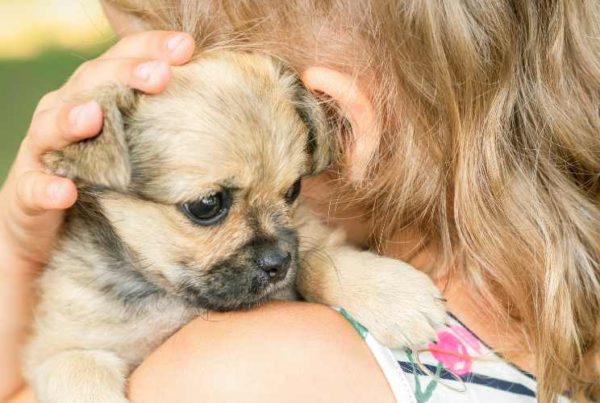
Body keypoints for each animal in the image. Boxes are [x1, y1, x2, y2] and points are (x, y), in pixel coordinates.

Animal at [24, 52, 446, 402]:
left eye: (293, 190)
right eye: (207, 205)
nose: (278, 262)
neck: (173, 297)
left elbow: (320, 258)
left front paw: (391, 294)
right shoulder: (56, 350)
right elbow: (78, 368)